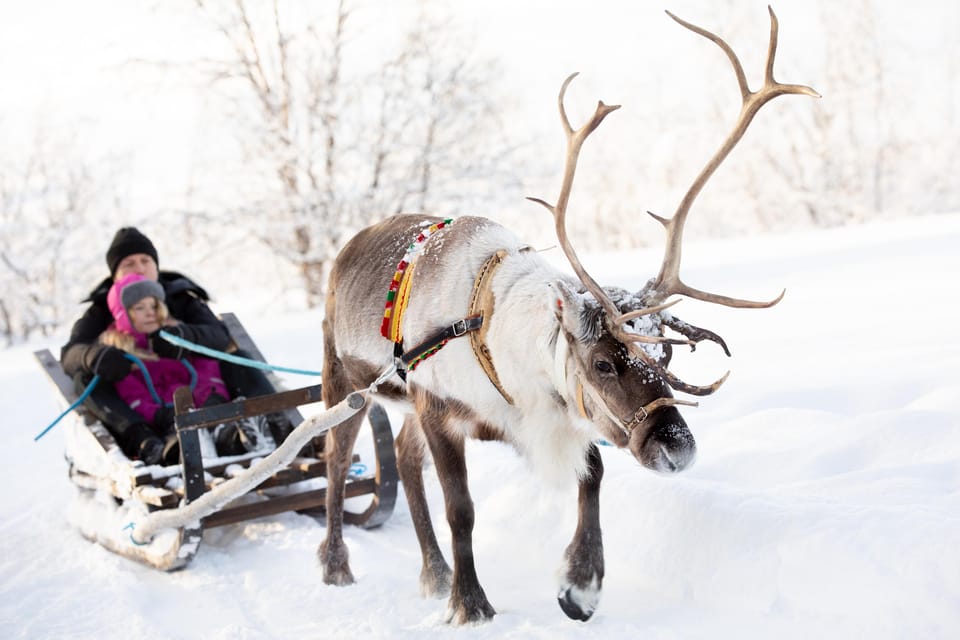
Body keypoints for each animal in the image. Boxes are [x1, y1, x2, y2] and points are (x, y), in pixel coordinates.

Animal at [318, 7, 818, 624]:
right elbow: (461, 508)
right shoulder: (441, 409)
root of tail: (347, 247)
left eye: (666, 353)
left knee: (406, 462)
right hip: (344, 379)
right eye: (603, 362)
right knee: (336, 460)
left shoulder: (531, 416)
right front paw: (472, 604)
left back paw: (433, 573)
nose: (679, 450)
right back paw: (339, 566)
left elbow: (594, 470)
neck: (493, 331)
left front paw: (580, 585)